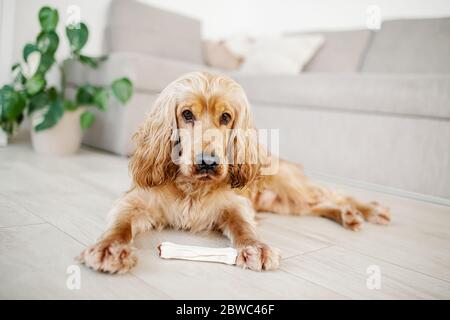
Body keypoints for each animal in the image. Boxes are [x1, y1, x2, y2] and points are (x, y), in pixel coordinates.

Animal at [78, 71, 390, 274]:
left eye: (226, 117)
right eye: (187, 114)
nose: (207, 162)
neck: (192, 187)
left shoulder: (235, 205)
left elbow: (243, 227)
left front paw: (255, 247)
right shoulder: (135, 202)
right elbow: (120, 226)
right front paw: (109, 249)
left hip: (289, 189)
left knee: (332, 194)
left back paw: (367, 209)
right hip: (285, 204)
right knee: (321, 204)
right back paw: (349, 215)